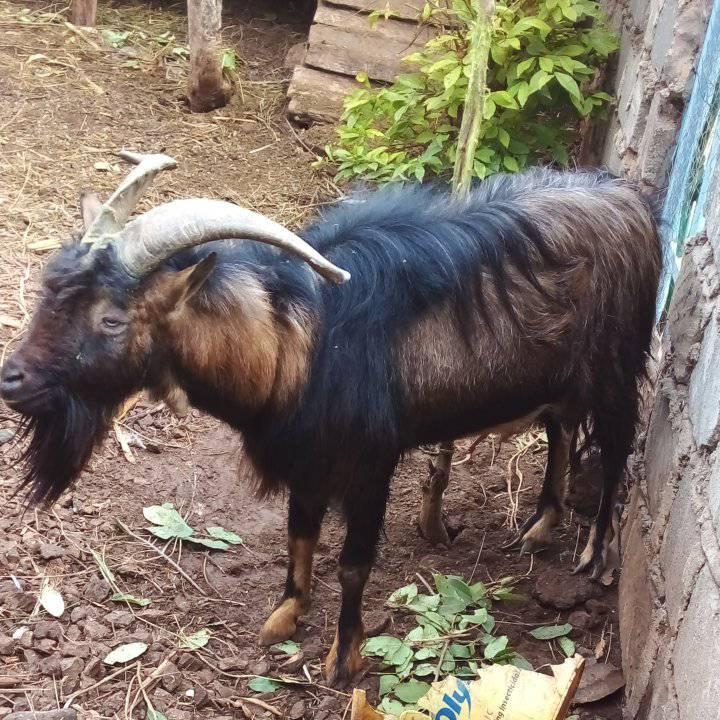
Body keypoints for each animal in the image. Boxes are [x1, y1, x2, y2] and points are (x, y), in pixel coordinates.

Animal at [0, 153, 662, 686]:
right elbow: (300, 536)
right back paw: (540, 527)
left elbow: (352, 564)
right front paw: (284, 616)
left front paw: (344, 660)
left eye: (112, 319)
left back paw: (592, 553)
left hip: (616, 367)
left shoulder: (370, 464)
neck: (297, 342)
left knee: (616, 447)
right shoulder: (307, 459)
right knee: (561, 429)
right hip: (560, 380)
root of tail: (631, 199)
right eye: (50, 287)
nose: (12, 378)